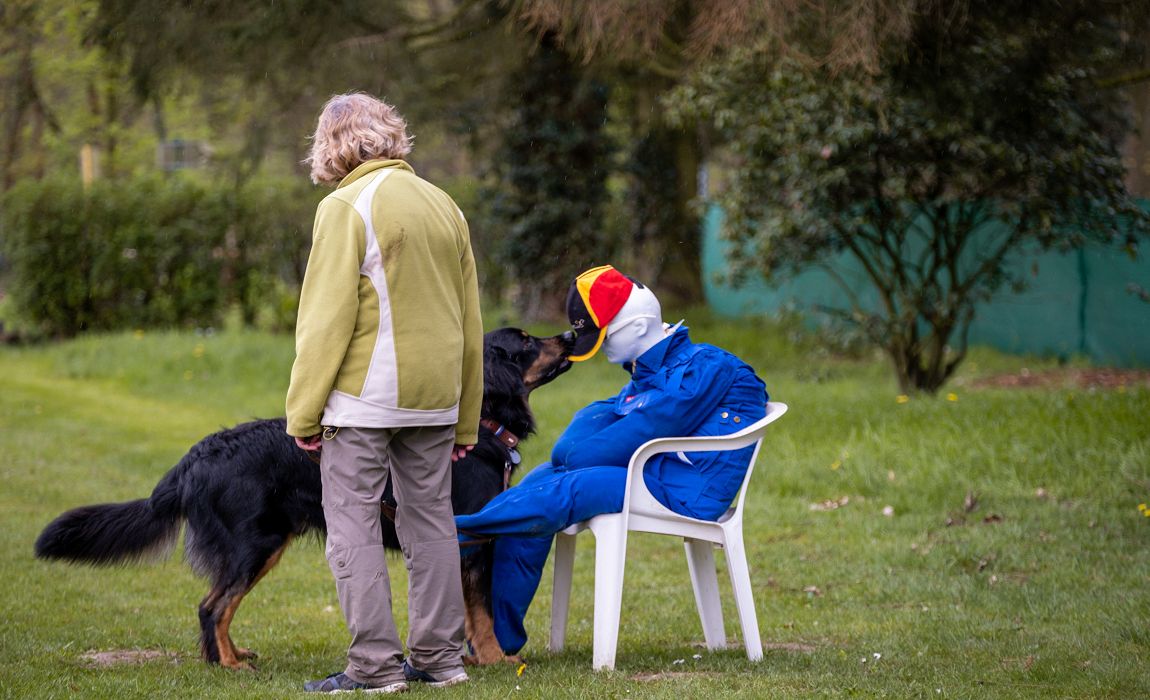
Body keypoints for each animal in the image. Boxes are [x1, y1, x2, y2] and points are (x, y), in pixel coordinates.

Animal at [35, 326, 575, 666]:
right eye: (526, 342)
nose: (571, 335)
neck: (483, 423)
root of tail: (197, 457)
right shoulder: (469, 541)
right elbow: (480, 612)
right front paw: (495, 659)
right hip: (255, 544)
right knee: (212, 606)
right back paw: (229, 665)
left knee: (214, 606)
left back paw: (224, 656)